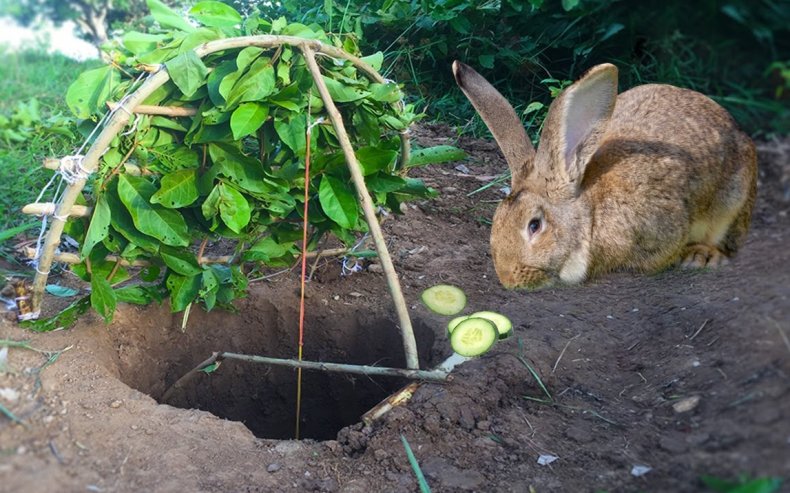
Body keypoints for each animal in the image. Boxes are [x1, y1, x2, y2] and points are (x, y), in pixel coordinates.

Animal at [458, 63, 760, 290]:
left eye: (535, 225)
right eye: (497, 221)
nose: (508, 278)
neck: (592, 214)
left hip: (734, 202)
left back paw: (702, 257)